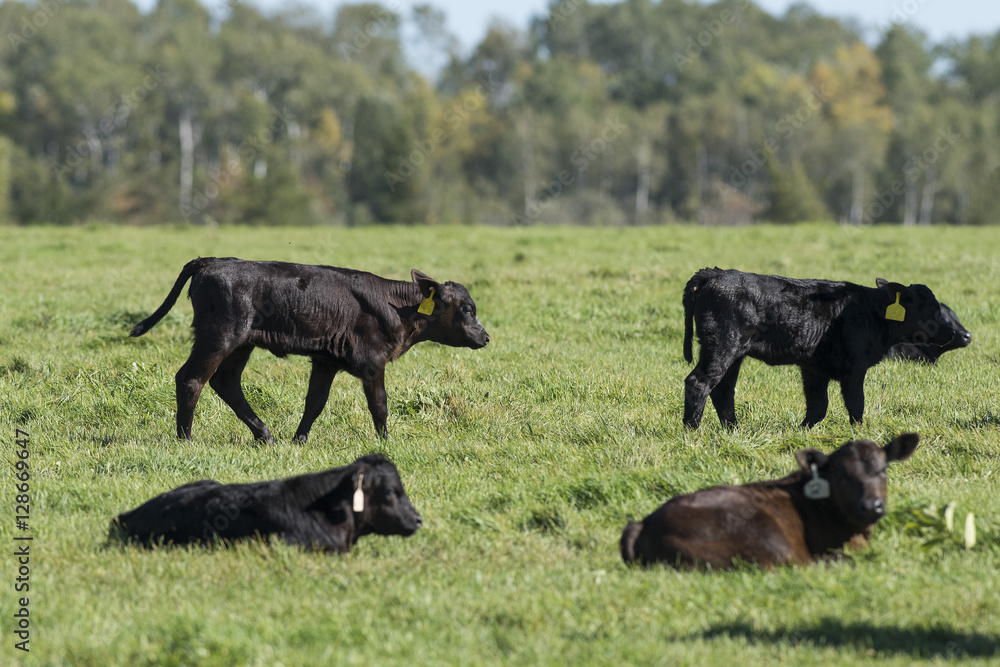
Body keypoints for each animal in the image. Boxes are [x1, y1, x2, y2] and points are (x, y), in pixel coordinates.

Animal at [130, 258, 489, 442]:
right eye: (468, 309)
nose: (485, 337)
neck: (398, 307)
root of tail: (214, 261)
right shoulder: (373, 363)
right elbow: (380, 405)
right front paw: (386, 442)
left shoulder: (325, 360)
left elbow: (315, 402)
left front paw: (298, 440)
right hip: (218, 336)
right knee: (191, 379)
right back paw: (185, 439)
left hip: (242, 343)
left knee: (226, 383)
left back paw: (265, 435)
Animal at [682, 268, 957, 429]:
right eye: (931, 307)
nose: (953, 333)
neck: (871, 311)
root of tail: (714, 274)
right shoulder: (854, 368)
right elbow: (856, 404)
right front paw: (858, 435)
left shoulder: (814, 369)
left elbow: (818, 406)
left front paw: (801, 432)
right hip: (722, 345)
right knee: (699, 382)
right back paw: (692, 431)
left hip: (735, 354)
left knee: (723, 390)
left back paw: (734, 431)